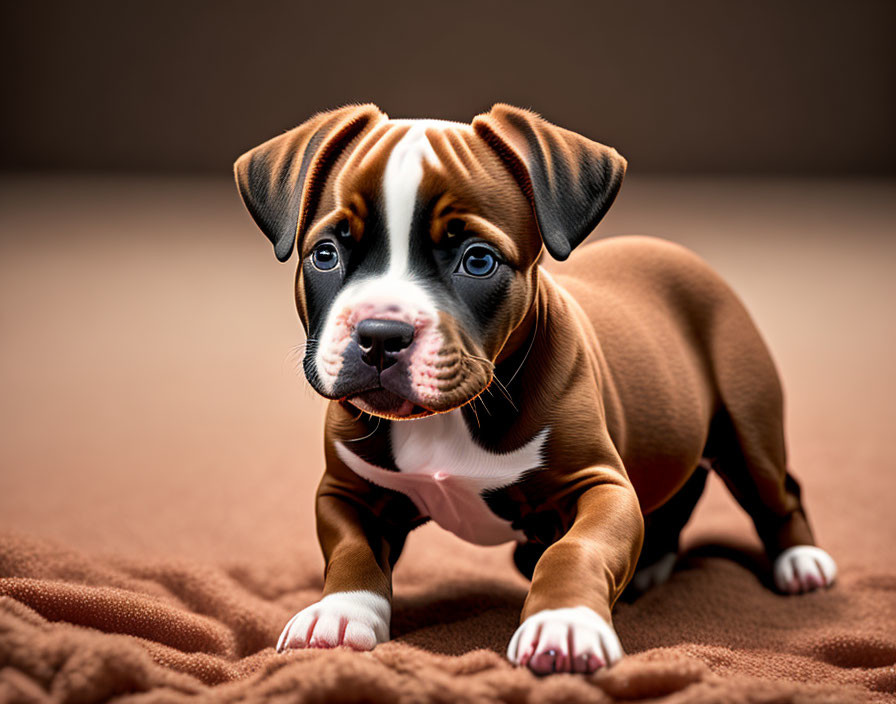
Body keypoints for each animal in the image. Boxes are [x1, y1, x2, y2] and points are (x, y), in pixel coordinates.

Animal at [234, 104, 836, 676]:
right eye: (325, 255)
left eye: (478, 260)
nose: (381, 334)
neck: (448, 417)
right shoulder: (346, 492)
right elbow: (352, 551)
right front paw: (338, 613)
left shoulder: (601, 486)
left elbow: (576, 550)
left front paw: (564, 622)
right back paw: (654, 564)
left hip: (748, 431)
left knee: (778, 491)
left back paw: (801, 562)